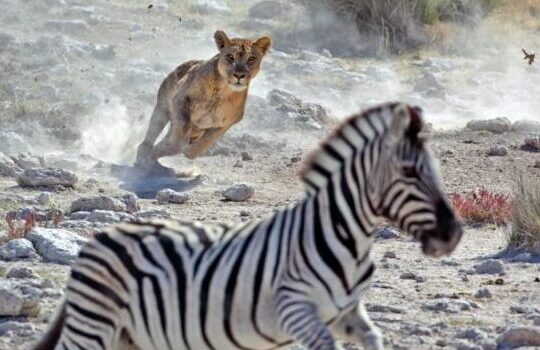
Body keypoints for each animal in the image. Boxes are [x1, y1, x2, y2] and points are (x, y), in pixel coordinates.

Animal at [32, 102, 464, 350]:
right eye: (409, 173)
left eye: (436, 170)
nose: (454, 234)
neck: (347, 238)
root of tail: (98, 239)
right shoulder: (294, 309)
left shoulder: (345, 313)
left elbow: (374, 338)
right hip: (93, 326)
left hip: (129, 336)